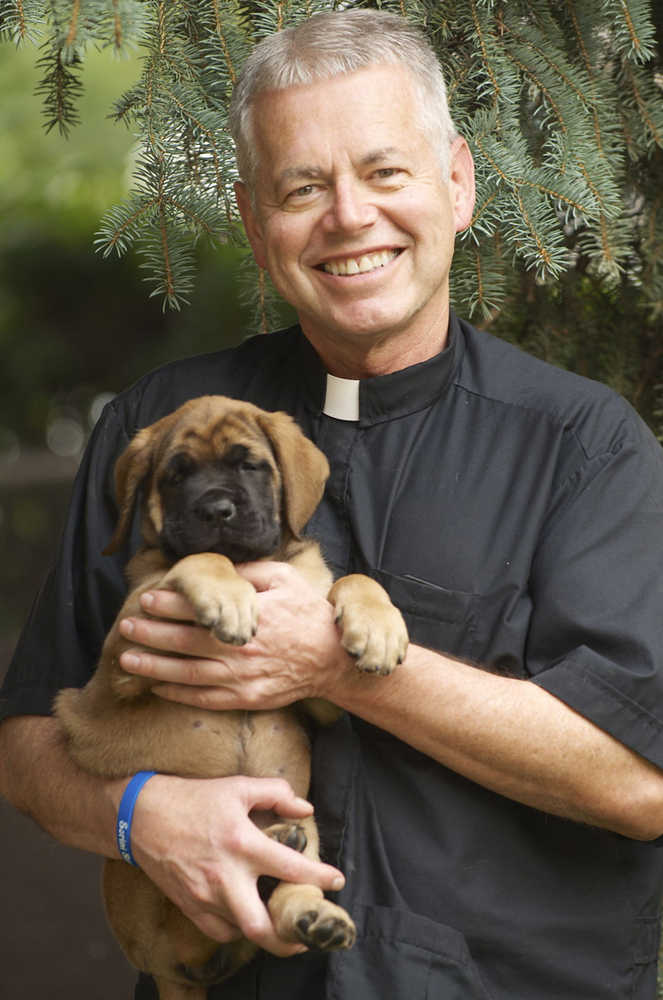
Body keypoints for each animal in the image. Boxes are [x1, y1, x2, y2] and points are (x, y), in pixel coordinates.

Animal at [55, 394, 410, 1000]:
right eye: (177, 475)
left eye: (249, 465)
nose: (217, 510)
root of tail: (178, 974)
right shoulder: (126, 651)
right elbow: (194, 561)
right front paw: (226, 595)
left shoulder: (320, 692)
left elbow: (349, 582)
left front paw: (378, 625)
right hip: (147, 883)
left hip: (302, 836)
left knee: (280, 902)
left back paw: (309, 908)